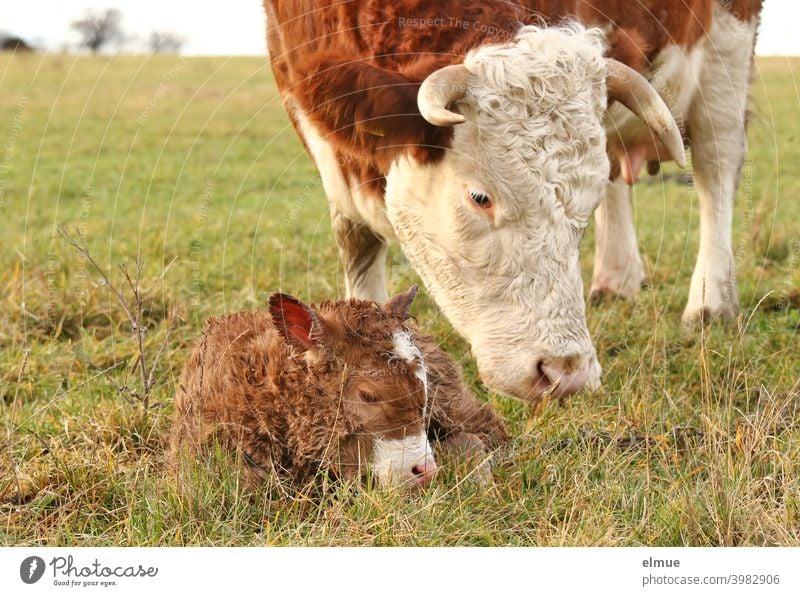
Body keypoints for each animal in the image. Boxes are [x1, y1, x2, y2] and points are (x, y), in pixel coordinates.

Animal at [262, 2, 764, 402]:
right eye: (480, 197)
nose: (566, 373)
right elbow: (356, 241)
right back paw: (616, 280)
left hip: (729, 48)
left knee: (717, 166)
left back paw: (709, 304)